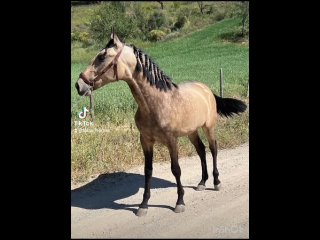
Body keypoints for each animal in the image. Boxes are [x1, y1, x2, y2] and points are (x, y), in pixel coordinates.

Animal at [75, 30, 248, 218]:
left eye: (101, 57)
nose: (79, 85)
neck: (155, 104)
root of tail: (206, 89)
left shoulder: (172, 141)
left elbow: (176, 169)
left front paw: (179, 202)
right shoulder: (145, 141)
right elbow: (148, 170)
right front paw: (143, 205)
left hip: (208, 127)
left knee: (213, 149)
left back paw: (216, 182)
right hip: (192, 132)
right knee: (201, 151)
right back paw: (202, 182)